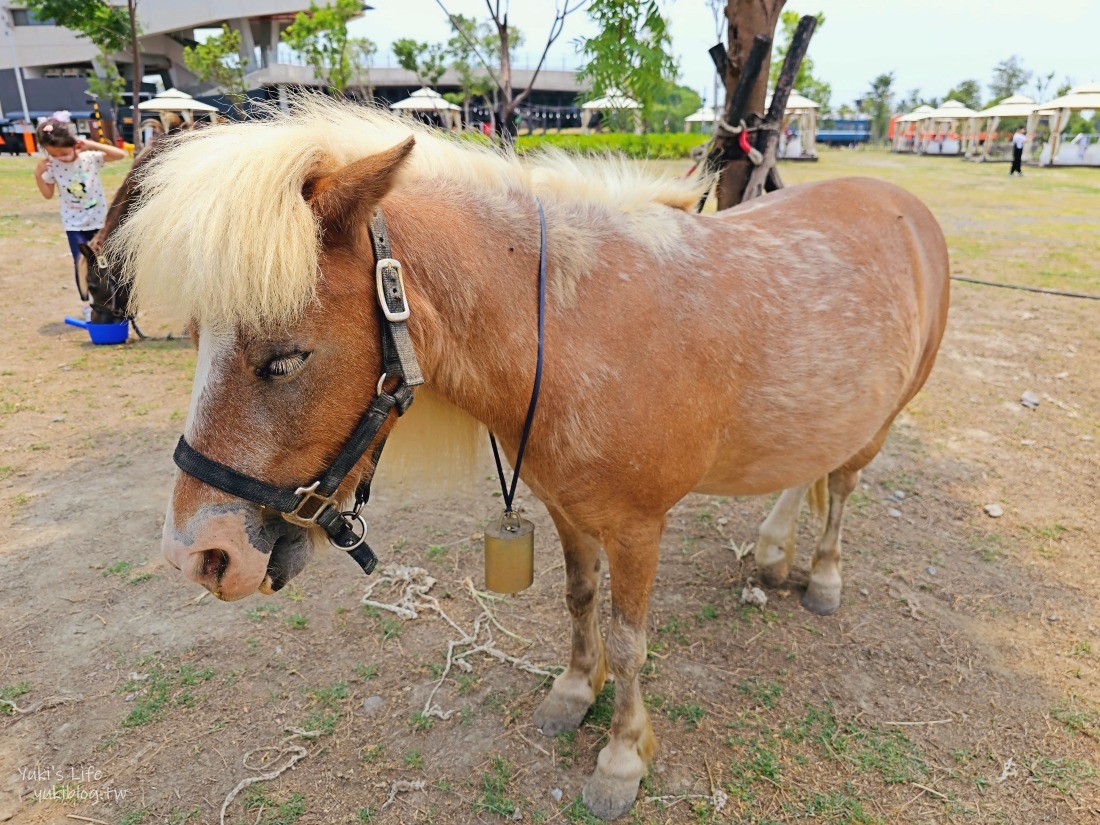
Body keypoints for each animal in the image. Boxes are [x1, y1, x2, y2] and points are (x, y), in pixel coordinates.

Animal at [113, 100, 954, 822]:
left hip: (884, 418)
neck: (575, 329)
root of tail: (906, 207)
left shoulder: (640, 527)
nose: (199, 555)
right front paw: (574, 692)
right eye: (197, 338)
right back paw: (775, 552)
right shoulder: (564, 507)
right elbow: (579, 602)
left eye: (284, 359)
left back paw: (822, 576)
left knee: (839, 485)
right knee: (807, 468)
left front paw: (621, 757)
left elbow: (629, 639)